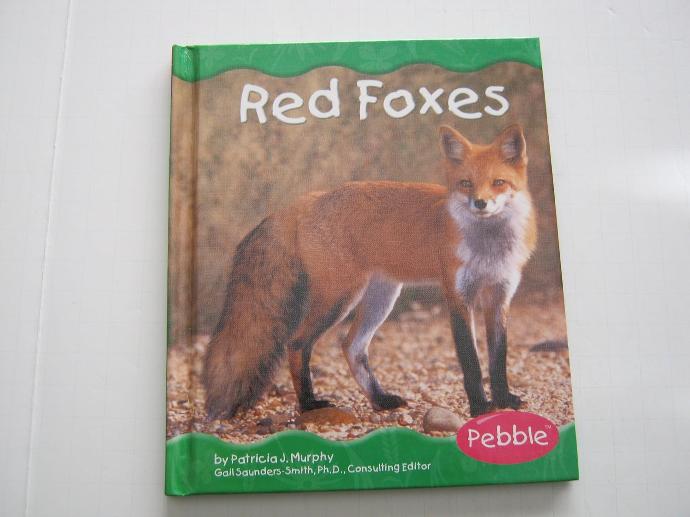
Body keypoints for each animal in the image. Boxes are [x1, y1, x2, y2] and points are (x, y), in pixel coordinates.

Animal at [203, 124, 537, 419]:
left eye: (499, 182)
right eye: (466, 183)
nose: (480, 203)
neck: (489, 248)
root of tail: (310, 199)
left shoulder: (500, 296)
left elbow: (498, 358)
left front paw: (504, 399)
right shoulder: (458, 297)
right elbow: (471, 362)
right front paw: (480, 407)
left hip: (381, 296)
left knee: (351, 346)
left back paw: (378, 399)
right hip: (340, 297)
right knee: (297, 343)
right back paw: (309, 404)